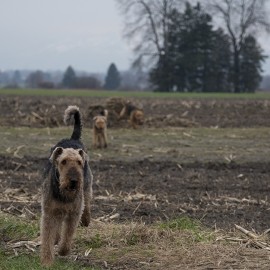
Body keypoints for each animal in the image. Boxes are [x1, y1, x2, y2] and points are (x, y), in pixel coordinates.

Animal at [40, 105, 93, 266]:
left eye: (79, 162)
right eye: (63, 161)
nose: (74, 181)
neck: (65, 195)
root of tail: (72, 139)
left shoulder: (73, 214)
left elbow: (68, 235)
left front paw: (62, 251)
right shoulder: (49, 212)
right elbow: (47, 237)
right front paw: (47, 261)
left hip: (87, 187)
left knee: (87, 204)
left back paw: (86, 220)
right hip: (57, 210)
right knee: (57, 228)